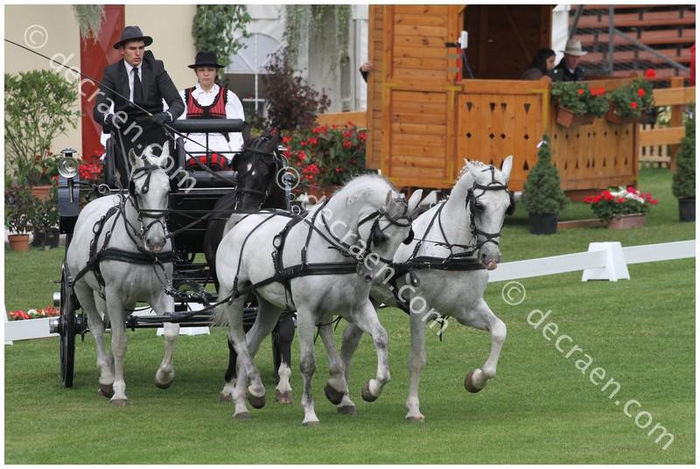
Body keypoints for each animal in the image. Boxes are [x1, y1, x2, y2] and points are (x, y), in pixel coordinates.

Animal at [65, 143, 176, 406]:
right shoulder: (114, 294)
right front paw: (117, 390)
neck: (140, 249)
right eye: (137, 191)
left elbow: (170, 332)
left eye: (168, 189)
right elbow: (117, 342)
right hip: (82, 288)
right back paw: (106, 376)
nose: (156, 241)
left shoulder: (161, 292)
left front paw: (164, 376)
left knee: (114, 326)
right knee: (96, 327)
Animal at [205, 130, 298, 400]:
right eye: (240, 169)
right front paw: (233, 382)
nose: (242, 212)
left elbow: (284, 329)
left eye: (268, 171)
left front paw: (284, 381)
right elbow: (237, 334)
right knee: (238, 331)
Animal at [213, 176, 422, 424]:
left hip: (270, 306)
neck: (331, 249)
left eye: (407, 238)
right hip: (235, 298)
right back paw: (251, 390)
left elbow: (380, 337)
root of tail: (241, 221)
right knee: (238, 340)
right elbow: (308, 363)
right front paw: (310, 413)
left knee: (251, 342)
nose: (381, 276)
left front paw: (369, 388)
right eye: (381, 237)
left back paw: (245, 400)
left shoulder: (355, 307)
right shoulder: (306, 312)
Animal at [328, 157, 516, 420]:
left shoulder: (467, 310)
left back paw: (348, 396)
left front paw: (476, 380)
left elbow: (499, 331)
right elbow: (417, 359)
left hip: (367, 299)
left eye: (507, 206)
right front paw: (413, 408)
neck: (450, 252)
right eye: (479, 205)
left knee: (349, 341)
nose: (491, 256)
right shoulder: (419, 310)